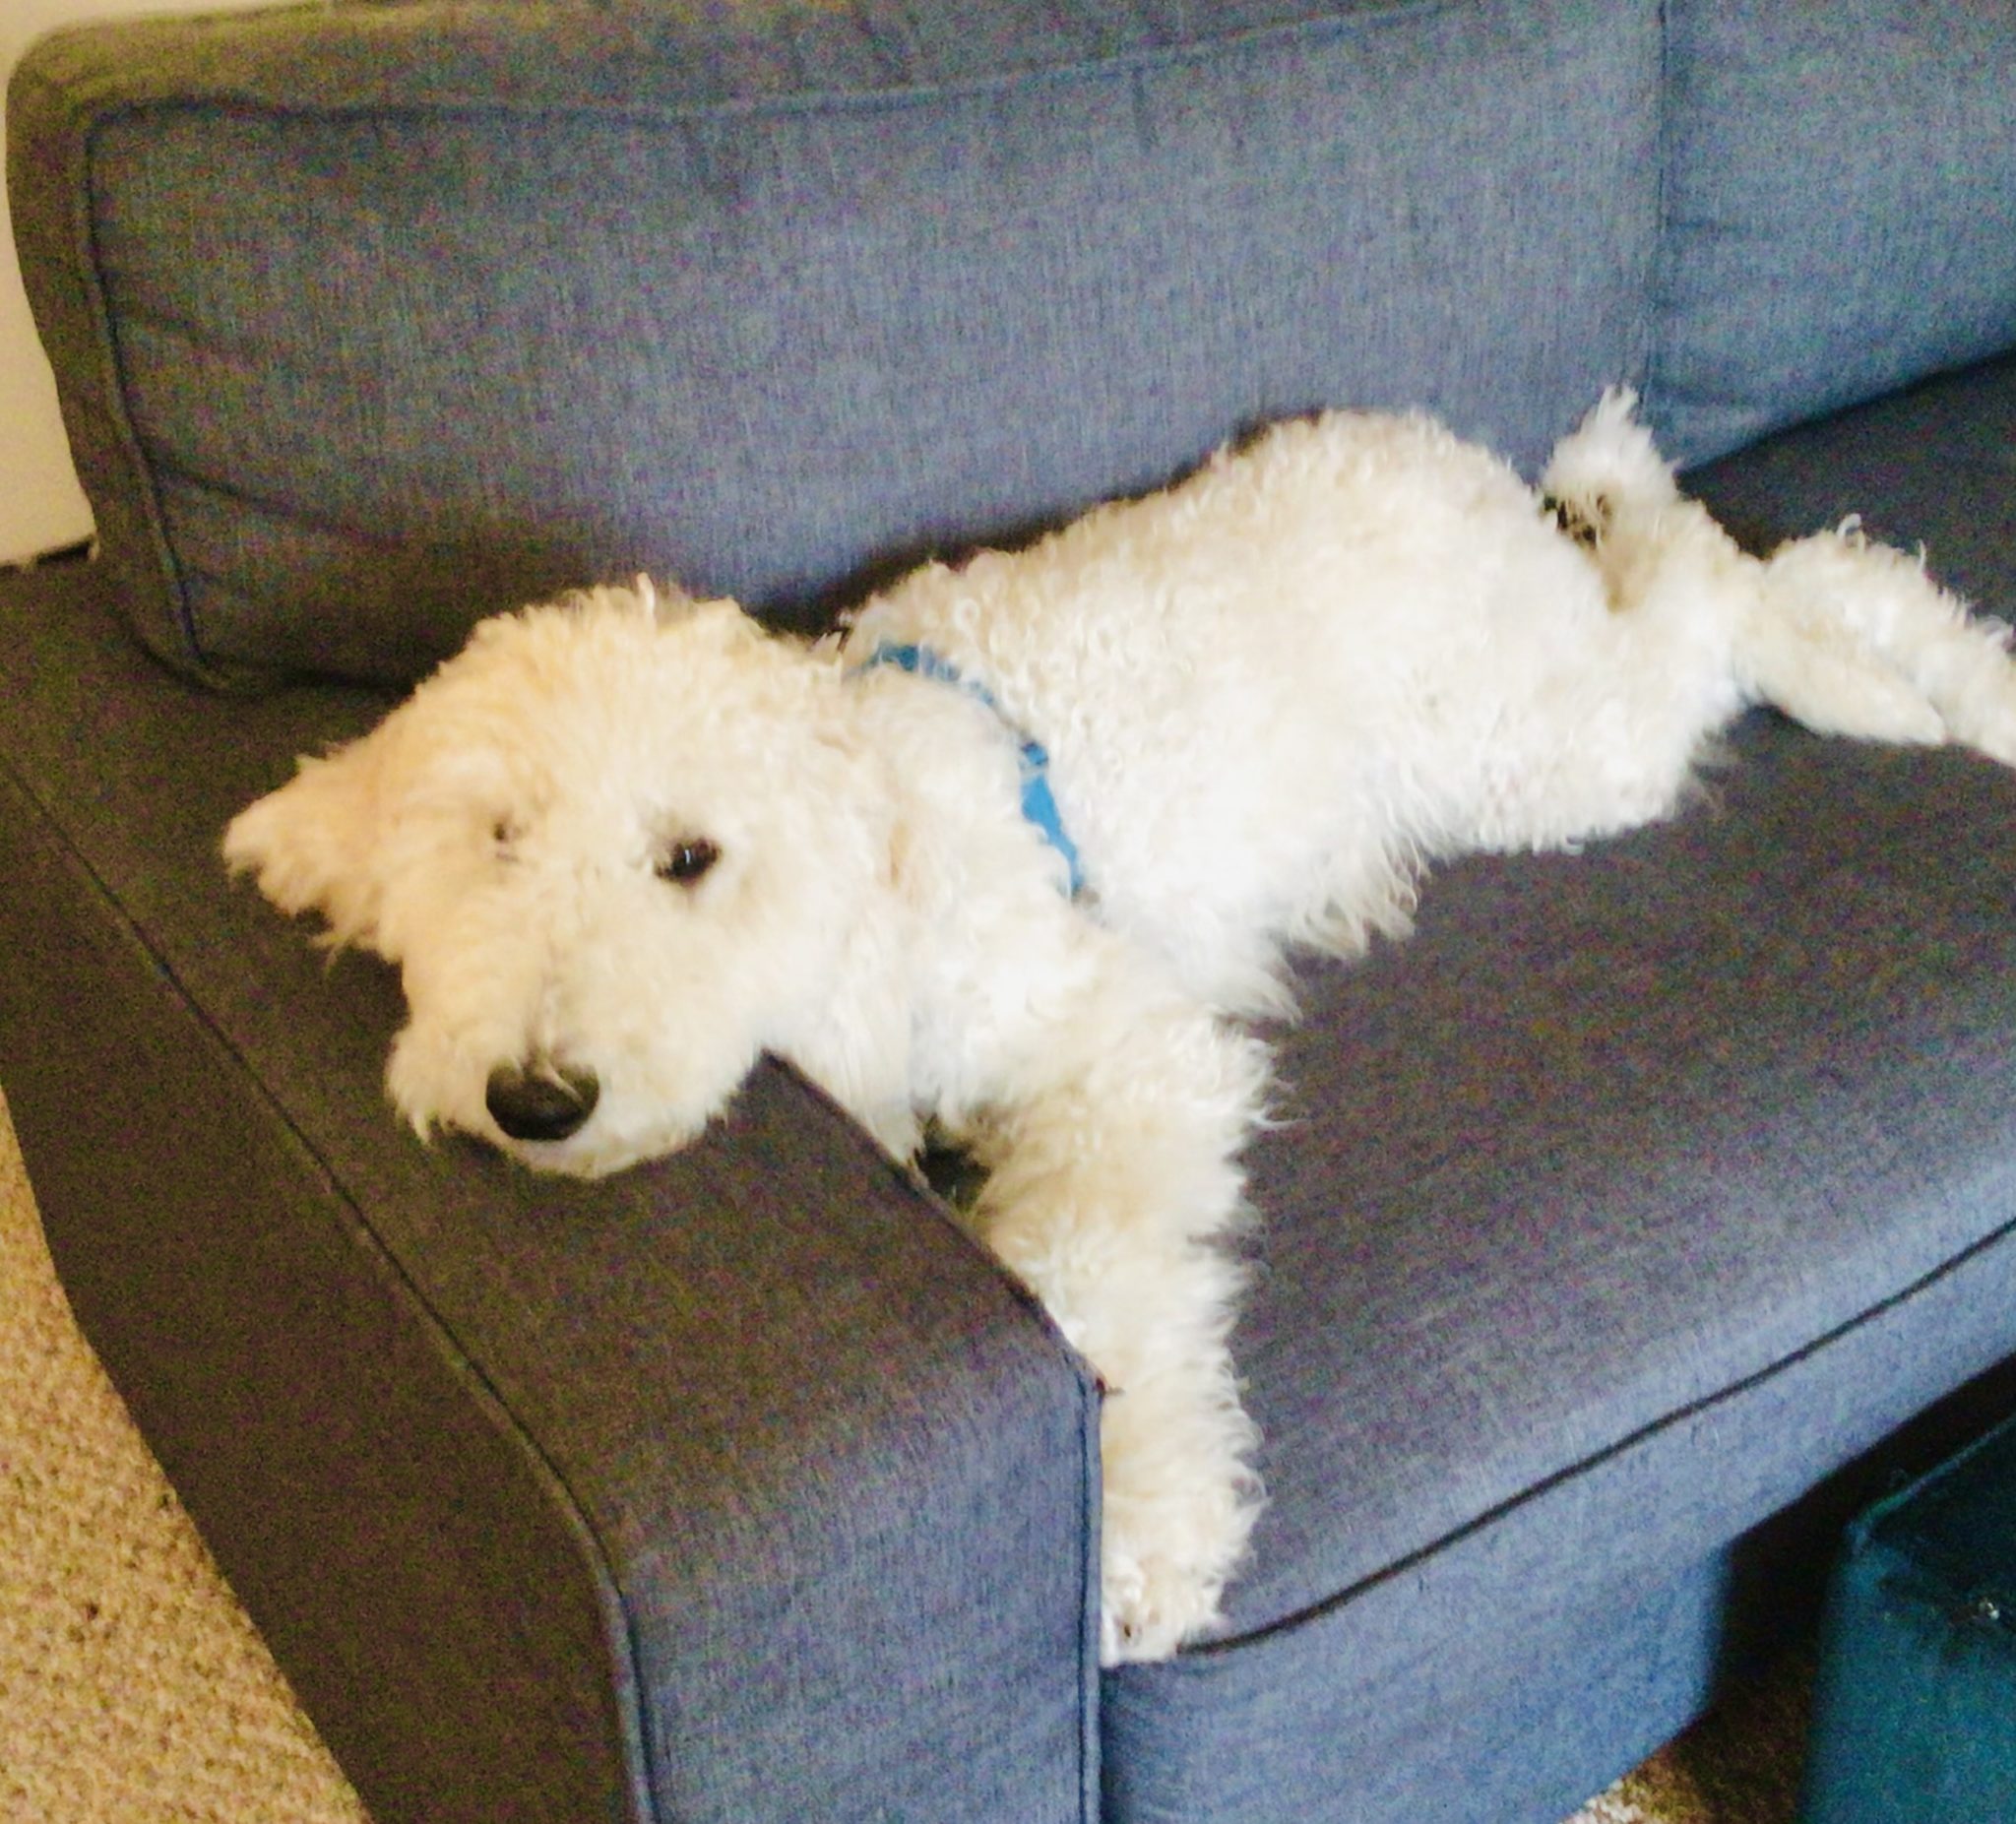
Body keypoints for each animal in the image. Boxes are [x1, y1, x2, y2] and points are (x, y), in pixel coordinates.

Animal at [220, 387, 2016, 1668]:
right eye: (495, 839)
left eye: (689, 858)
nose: (534, 1097)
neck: (875, 859)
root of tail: (1460, 469)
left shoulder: (1115, 1046)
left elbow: (1094, 1285)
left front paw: (1142, 1529)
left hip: (1545, 754)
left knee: (1734, 586)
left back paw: (1867, 653)